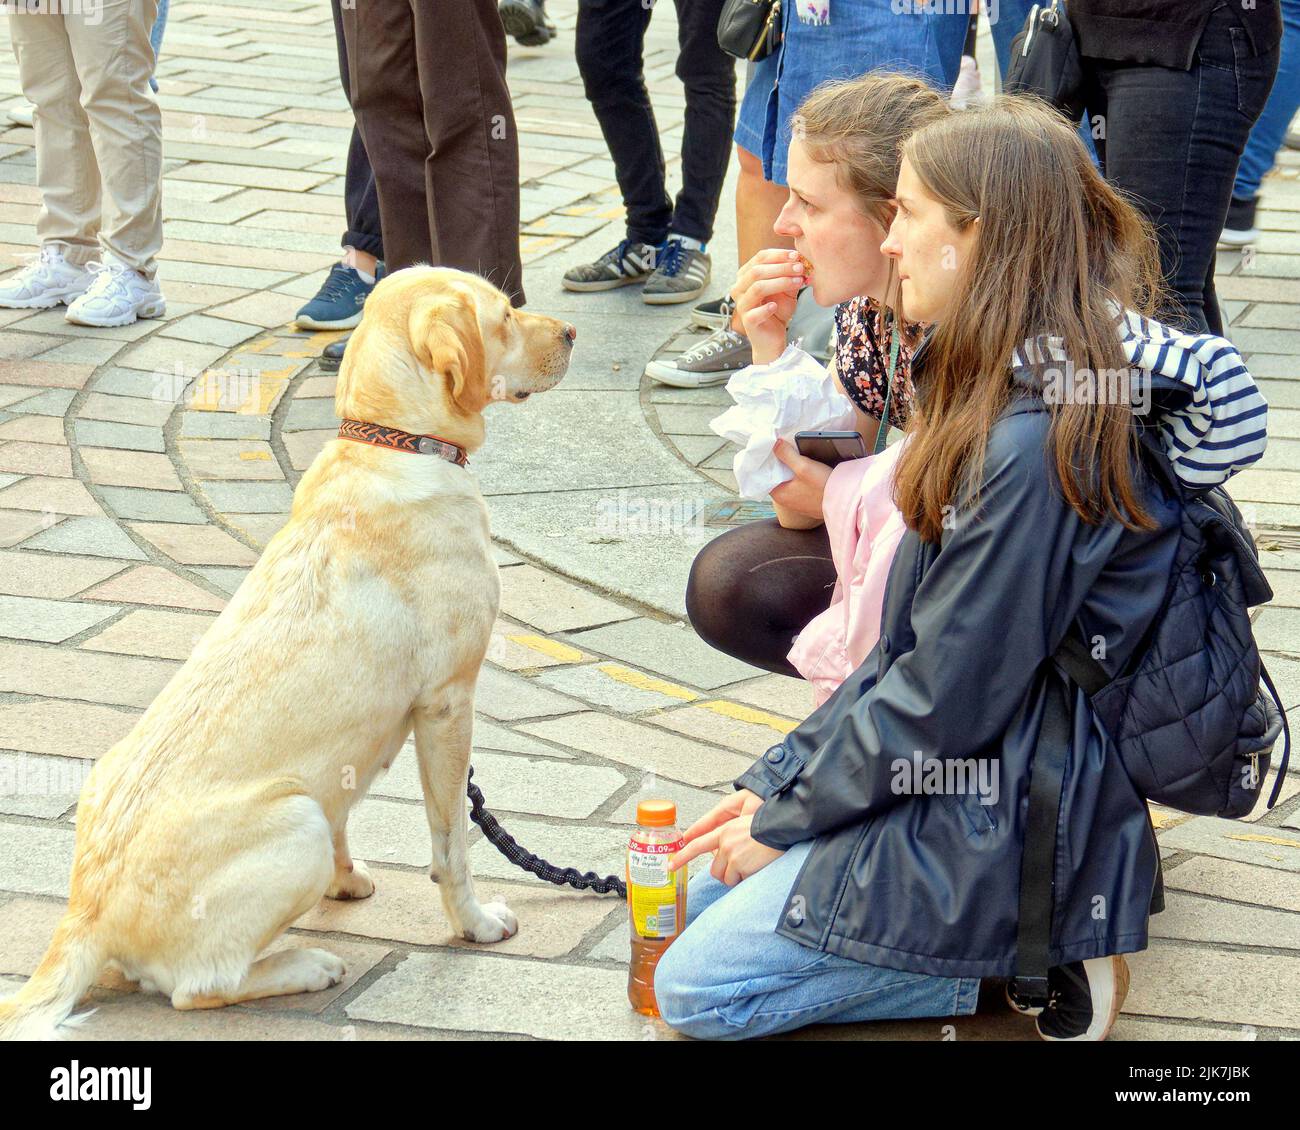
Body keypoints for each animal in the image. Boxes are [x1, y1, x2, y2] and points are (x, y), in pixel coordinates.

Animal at [0, 266, 574, 1040]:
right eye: (506, 315)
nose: (571, 332)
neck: (394, 444)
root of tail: (85, 916)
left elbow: (351, 819)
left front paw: (347, 880)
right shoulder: (448, 704)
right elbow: (452, 842)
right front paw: (475, 924)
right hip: (294, 820)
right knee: (198, 987)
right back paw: (305, 965)